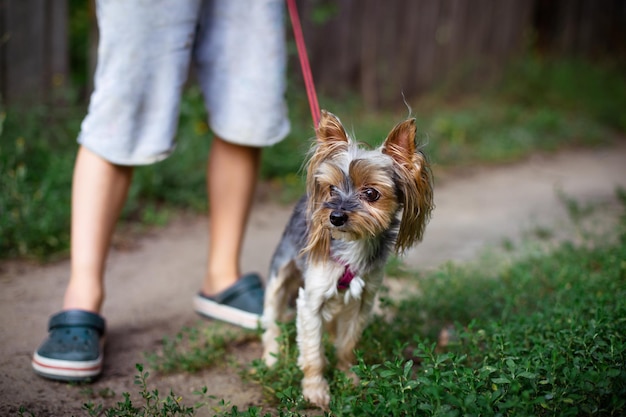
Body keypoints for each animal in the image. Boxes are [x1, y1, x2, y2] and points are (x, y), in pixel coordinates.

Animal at [260, 109, 432, 408]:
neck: (353, 244)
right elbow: (313, 352)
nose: (335, 216)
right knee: (271, 317)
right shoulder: (311, 301)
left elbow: (347, 343)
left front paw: (348, 376)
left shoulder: (363, 300)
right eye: (331, 189)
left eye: (371, 193)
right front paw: (315, 390)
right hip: (280, 273)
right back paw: (271, 357)